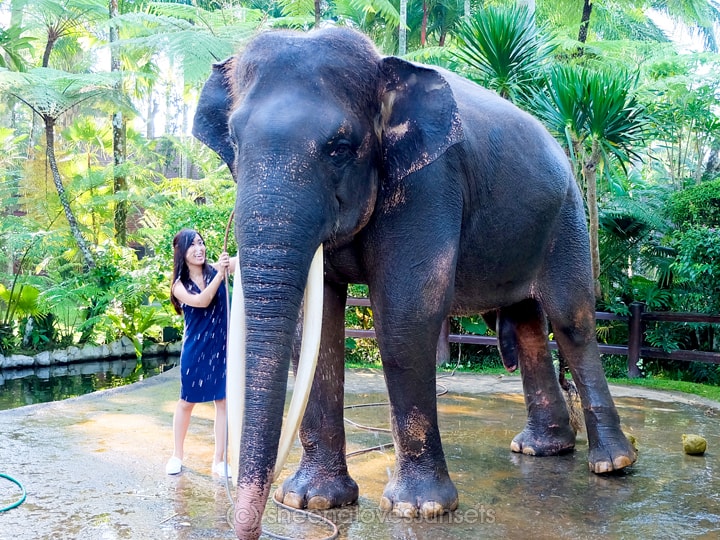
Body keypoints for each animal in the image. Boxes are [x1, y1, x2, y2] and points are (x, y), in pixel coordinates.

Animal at [191, 25, 636, 540]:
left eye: (340, 148)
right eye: (234, 141)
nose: (248, 528)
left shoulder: (429, 181)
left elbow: (406, 314)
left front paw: (418, 509)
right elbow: (314, 326)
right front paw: (311, 500)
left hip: (568, 217)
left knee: (572, 321)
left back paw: (611, 464)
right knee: (527, 322)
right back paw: (540, 449)